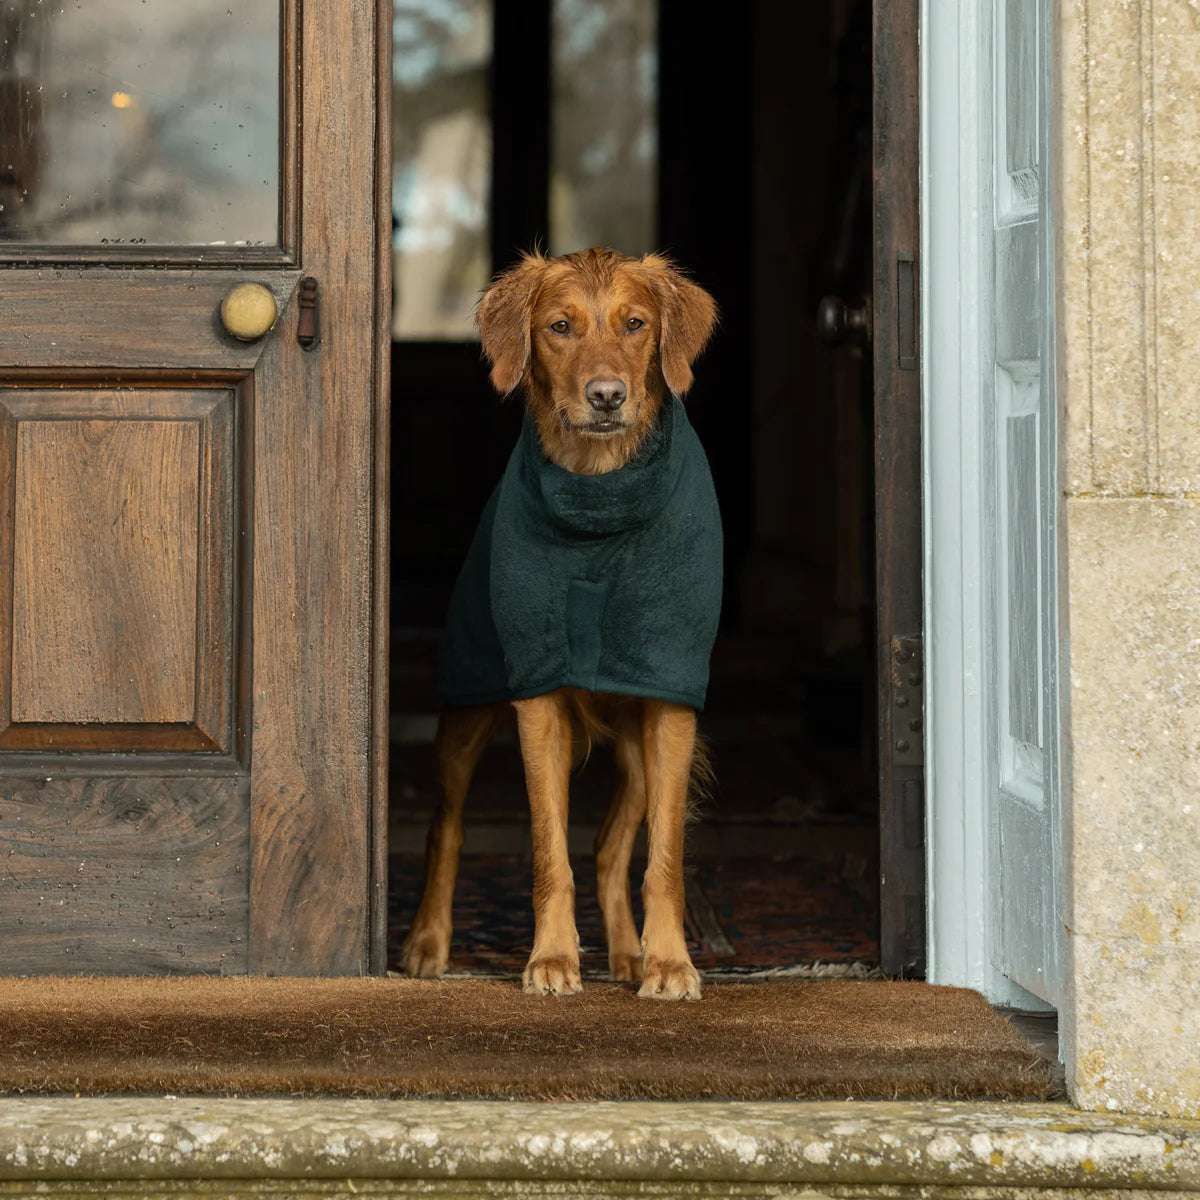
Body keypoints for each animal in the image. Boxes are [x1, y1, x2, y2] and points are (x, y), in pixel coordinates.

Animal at [403, 248, 720, 998]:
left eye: (635, 324)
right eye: (559, 327)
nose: (606, 395)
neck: (599, 494)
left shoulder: (670, 701)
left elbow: (662, 857)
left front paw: (669, 962)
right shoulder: (536, 698)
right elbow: (550, 849)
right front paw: (551, 957)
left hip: (637, 748)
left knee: (609, 847)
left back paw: (629, 954)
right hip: (466, 707)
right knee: (445, 828)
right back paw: (428, 942)